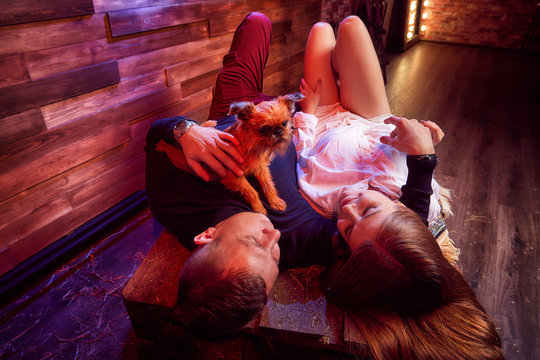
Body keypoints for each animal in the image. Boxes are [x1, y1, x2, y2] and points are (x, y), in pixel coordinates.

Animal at [155, 93, 304, 214]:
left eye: (284, 123)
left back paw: (210, 122)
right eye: (264, 130)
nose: (279, 131)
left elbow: (268, 185)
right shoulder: (233, 176)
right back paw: (160, 144)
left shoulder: (260, 169)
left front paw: (274, 201)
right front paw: (258, 207)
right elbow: (250, 190)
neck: (253, 146)